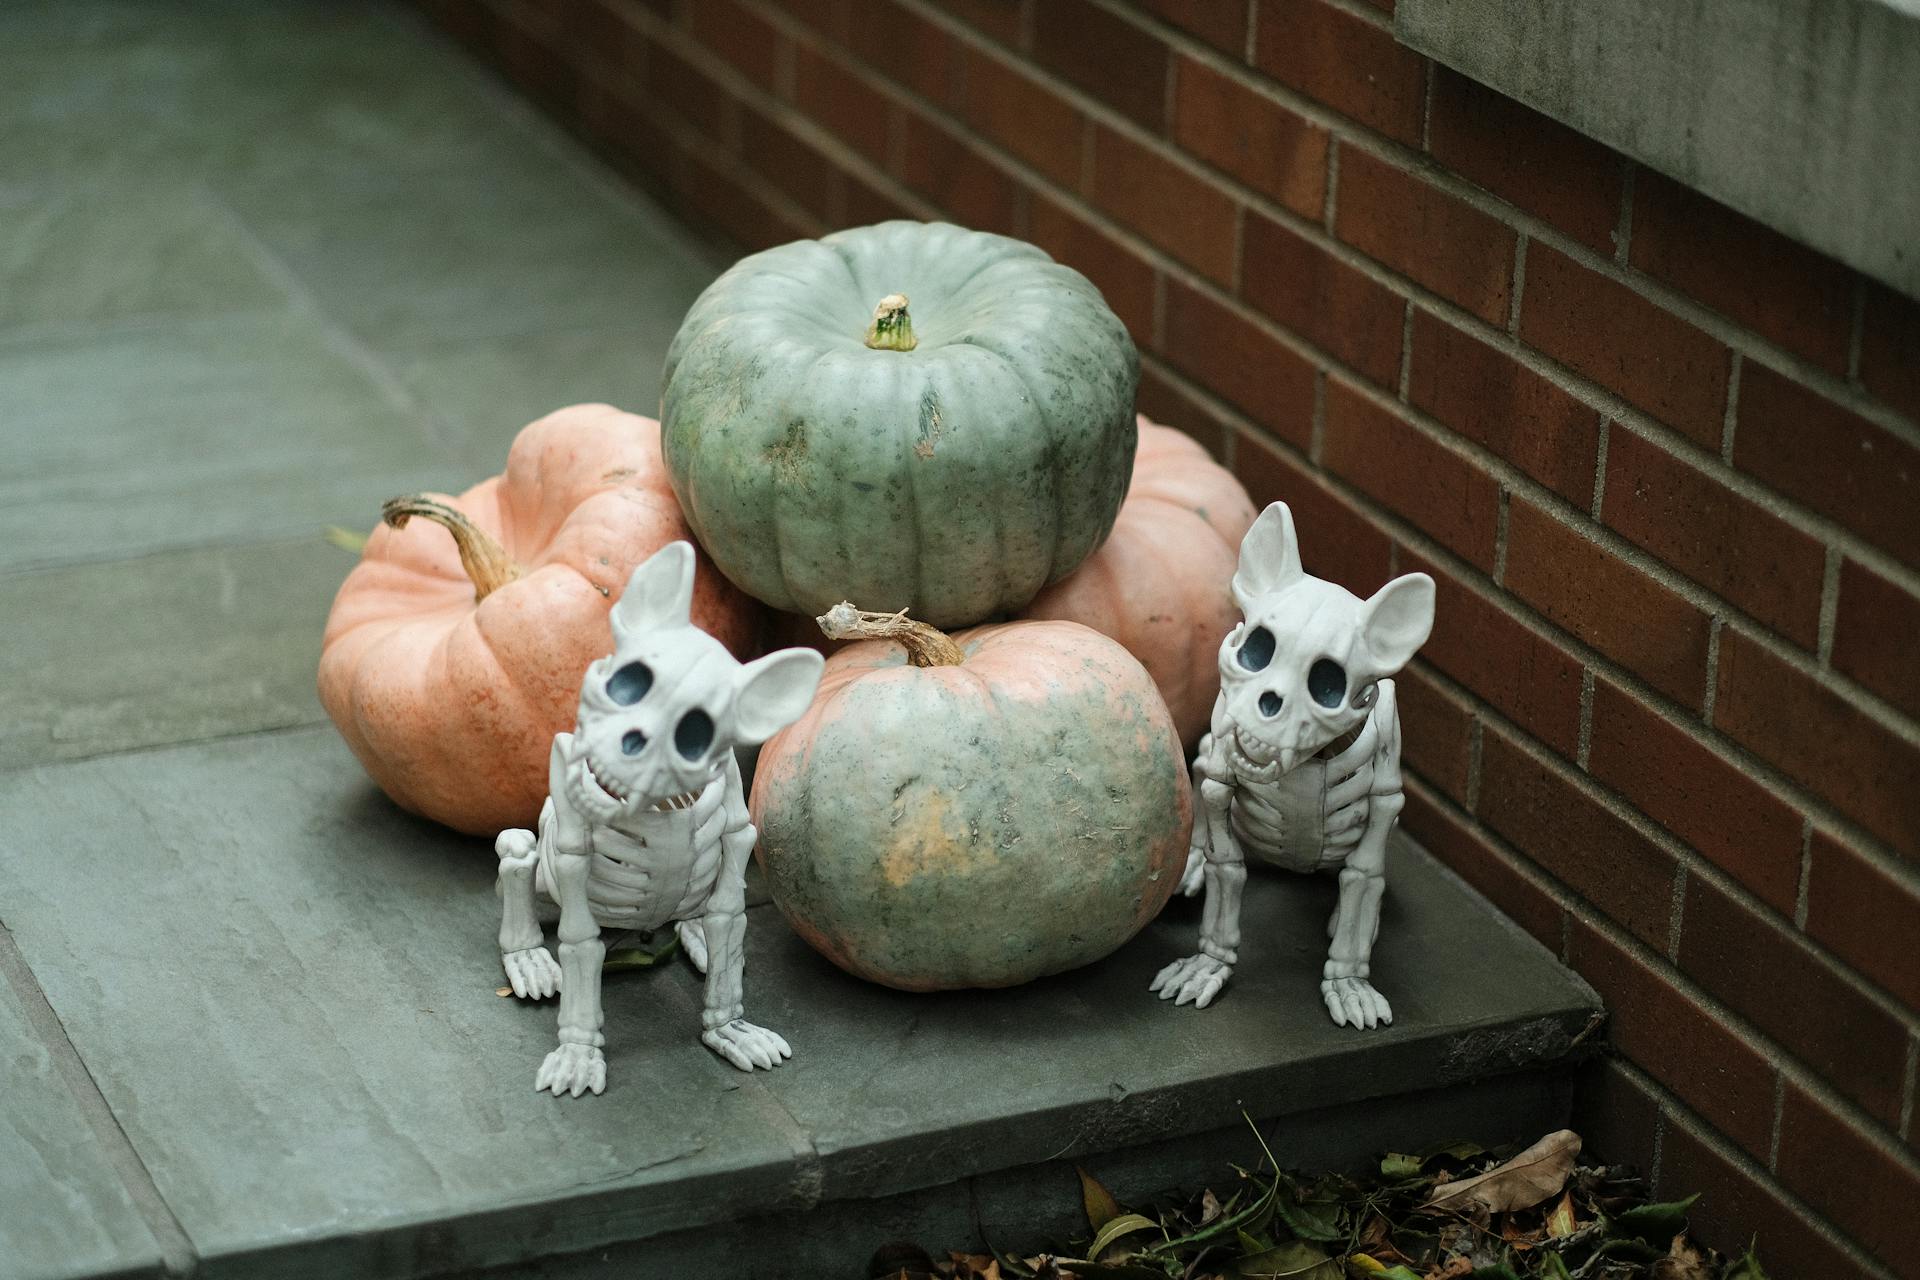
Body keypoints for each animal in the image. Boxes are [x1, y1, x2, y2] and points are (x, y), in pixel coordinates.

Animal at [491, 545, 821, 1097]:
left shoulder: (735, 822)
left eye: (694, 733)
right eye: (628, 685)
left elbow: (730, 913)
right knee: (516, 849)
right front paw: (578, 1056)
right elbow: (581, 944)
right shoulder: (571, 845)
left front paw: (732, 1029)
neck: (662, 810)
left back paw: (698, 936)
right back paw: (529, 960)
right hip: (541, 865)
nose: (627, 747)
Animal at [1144, 502, 1436, 1028]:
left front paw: (1349, 982)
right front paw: (1207, 963)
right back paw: (1191, 862)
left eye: (1328, 685)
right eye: (1256, 650)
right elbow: (1226, 861)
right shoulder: (1220, 769)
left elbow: (1364, 875)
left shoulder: (1387, 783)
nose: (1266, 709)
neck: (1309, 760)